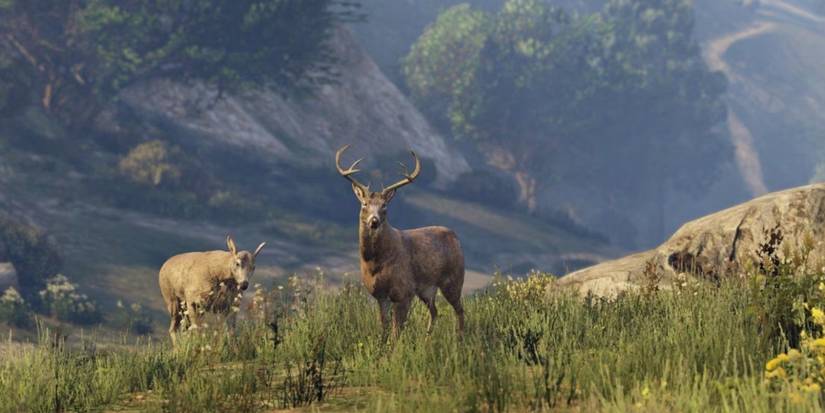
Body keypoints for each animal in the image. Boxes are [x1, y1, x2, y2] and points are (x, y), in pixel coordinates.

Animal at [335, 144, 465, 338]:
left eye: (384, 206)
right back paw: (427, 339)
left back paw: (460, 338)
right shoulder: (380, 295)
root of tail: (456, 237)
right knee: (435, 311)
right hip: (427, 289)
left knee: (459, 310)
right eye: (364, 204)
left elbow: (397, 330)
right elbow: (384, 327)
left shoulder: (404, 291)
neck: (375, 263)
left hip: (454, 278)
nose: (374, 221)